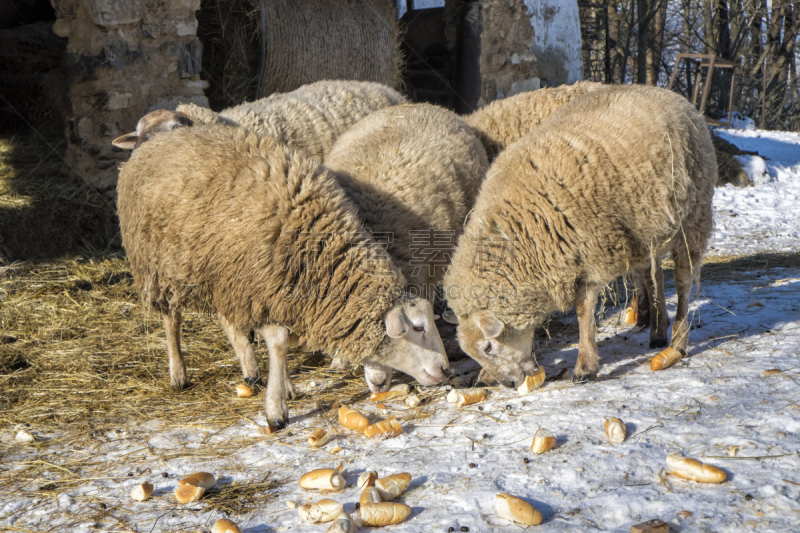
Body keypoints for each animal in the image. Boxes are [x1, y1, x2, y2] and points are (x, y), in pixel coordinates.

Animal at [117, 121, 450, 428]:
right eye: (417, 327)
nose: (447, 370)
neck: (317, 250)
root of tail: (161, 139)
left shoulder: (274, 290)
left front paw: (284, 387)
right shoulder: (262, 285)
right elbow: (278, 342)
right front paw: (276, 410)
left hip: (222, 275)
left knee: (227, 320)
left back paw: (249, 369)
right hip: (158, 266)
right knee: (171, 319)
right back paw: (178, 372)